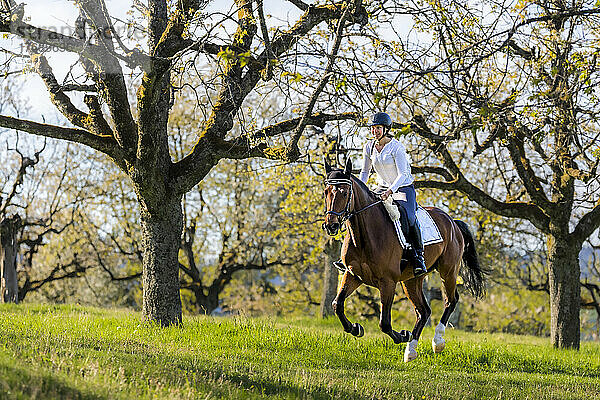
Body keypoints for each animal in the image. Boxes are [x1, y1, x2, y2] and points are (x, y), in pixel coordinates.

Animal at [322, 159, 486, 362]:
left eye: (344, 192)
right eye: (326, 192)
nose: (331, 225)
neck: (365, 234)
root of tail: (453, 222)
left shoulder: (388, 281)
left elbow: (384, 323)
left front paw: (402, 335)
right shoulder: (353, 275)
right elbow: (337, 305)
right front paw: (355, 328)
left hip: (448, 271)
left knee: (450, 300)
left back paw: (437, 341)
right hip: (412, 280)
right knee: (424, 311)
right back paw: (411, 351)